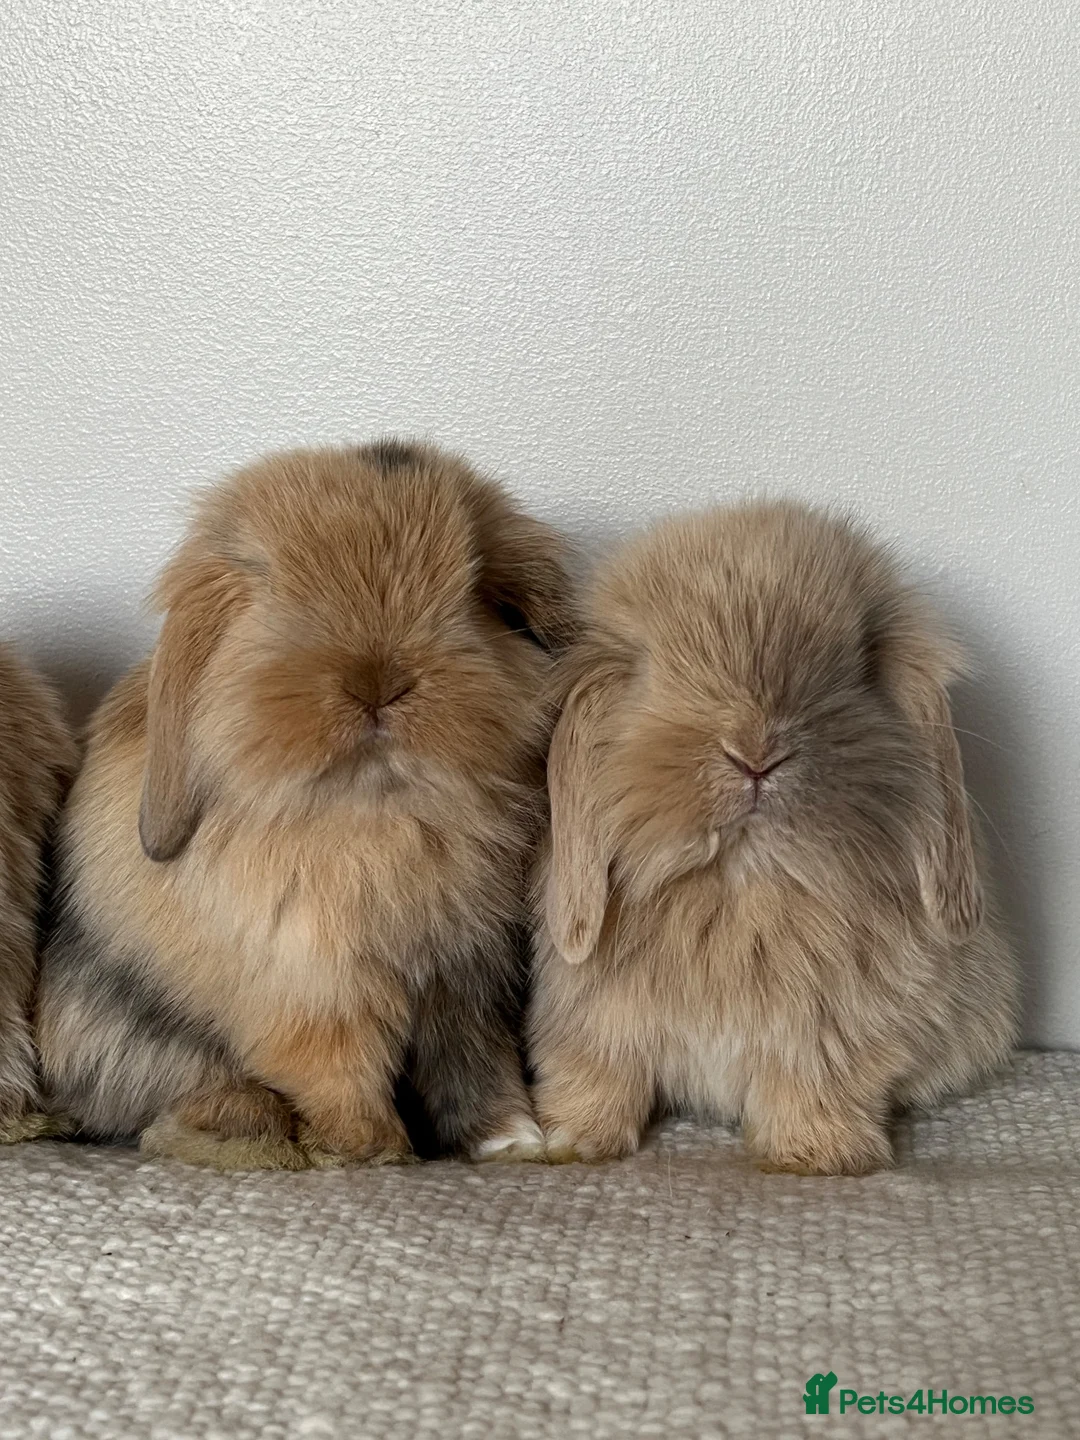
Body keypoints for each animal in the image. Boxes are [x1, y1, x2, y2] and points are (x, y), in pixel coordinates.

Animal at [36, 440, 577, 1170]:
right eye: (268, 589)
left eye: (481, 596)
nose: (377, 682)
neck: (378, 813)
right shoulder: (313, 988)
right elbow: (340, 1070)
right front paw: (374, 1149)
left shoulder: (463, 975)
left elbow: (475, 1061)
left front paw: (513, 1141)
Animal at [529, 501, 1018, 1176]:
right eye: (649, 672)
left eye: (858, 668)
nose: (755, 755)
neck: (743, 880)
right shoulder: (593, 1027)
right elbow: (598, 1079)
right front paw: (571, 1142)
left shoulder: (830, 1038)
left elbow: (812, 1088)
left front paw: (817, 1156)